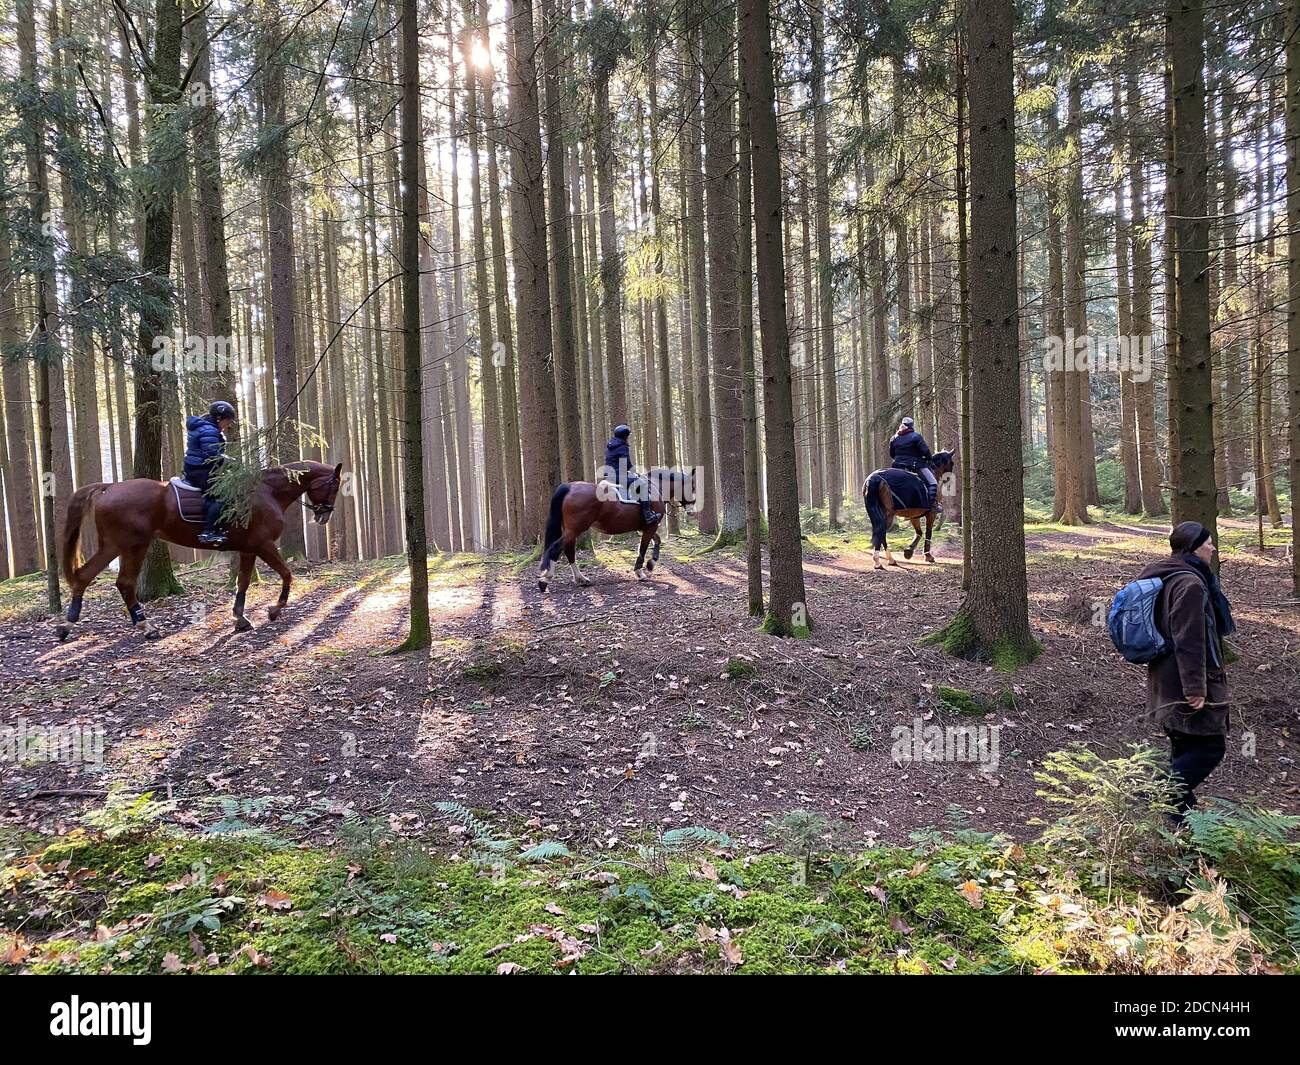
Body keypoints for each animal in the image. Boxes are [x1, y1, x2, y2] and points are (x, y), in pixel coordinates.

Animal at [56, 460, 345, 642]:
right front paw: (274, 611)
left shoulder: (249, 549)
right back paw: (146, 627)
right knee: (124, 583)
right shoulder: (263, 545)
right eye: (334, 486)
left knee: (85, 576)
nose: (324, 516)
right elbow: (287, 574)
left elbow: (243, 583)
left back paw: (67, 625)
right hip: (132, 545)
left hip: (114, 546)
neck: (267, 491)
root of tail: (110, 487)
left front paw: (240, 619)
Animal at [538, 470, 702, 595]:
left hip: (571, 529)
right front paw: (640, 572)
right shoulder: (651, 527)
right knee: (556, 548)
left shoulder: (645, 528)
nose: (692, 512)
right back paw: (546, 579)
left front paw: (651, 564)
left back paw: (581, 579)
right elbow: (643, 548)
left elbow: (657, 541)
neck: (656, 488)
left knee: (568, 550)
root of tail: (569, 487)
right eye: (693, 487)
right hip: (575, 529)